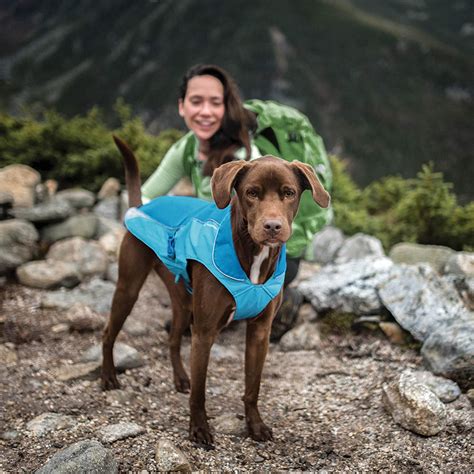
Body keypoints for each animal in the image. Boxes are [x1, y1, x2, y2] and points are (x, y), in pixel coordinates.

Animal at [101, 135, 328, 446]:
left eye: (289, 192)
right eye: (252, 193)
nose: (272, 226)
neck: (251, 253)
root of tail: (142, 206)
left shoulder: (260, 332)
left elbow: (252, 387)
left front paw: (255, 425)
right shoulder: (205, 332)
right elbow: (200, 392)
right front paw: (199, 428)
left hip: (184, 302)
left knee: (173, 339)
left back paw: (180, 379)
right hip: (129, 287)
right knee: (108, 332)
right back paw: (108, 376)